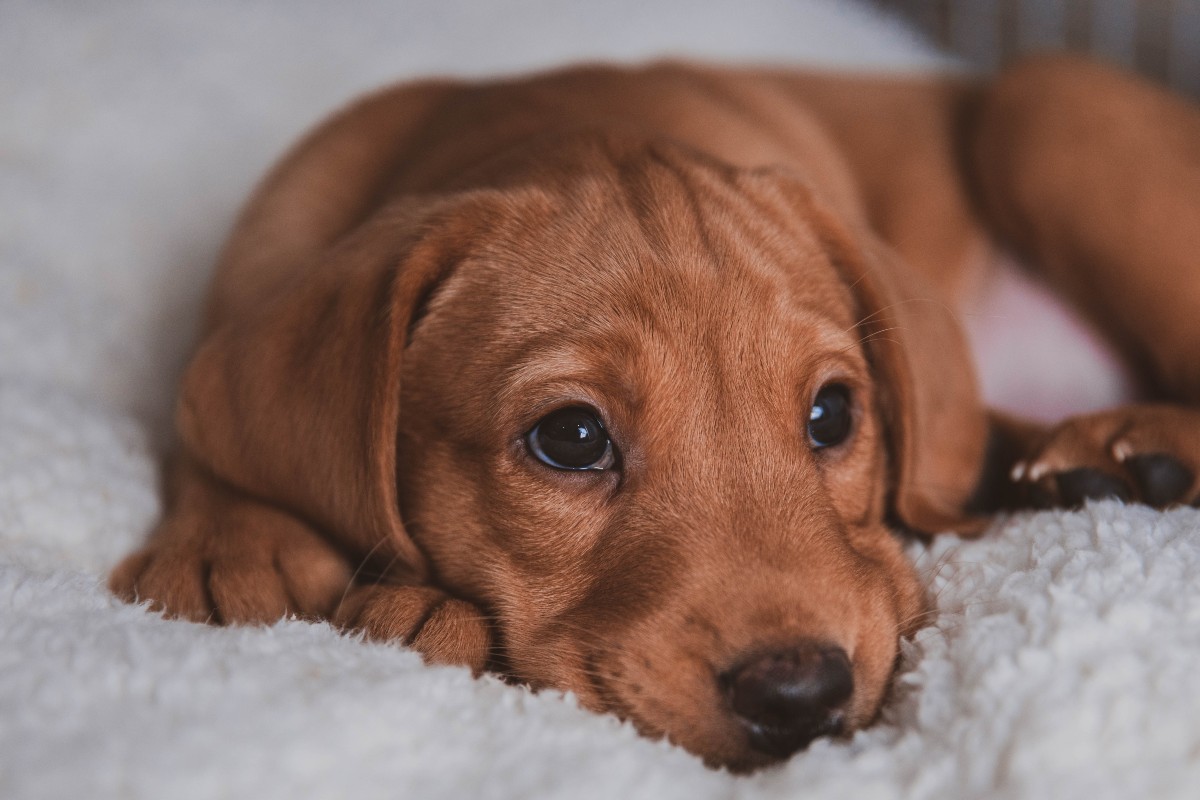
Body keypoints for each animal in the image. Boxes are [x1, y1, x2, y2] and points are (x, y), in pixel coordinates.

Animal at [112, 54, 1200, 767]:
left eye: (832, 414)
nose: (798, 695)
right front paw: (230, 542)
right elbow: (204, 436)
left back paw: (1129, 445)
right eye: (572, 437)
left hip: (1047, 105)